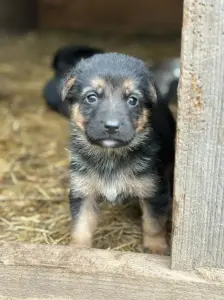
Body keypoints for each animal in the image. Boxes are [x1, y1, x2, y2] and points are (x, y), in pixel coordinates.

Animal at [60, 52, 175, 254]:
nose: (111, 127)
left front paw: (156, 249)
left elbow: (153, 224)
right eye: (91, 97)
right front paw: (78, 249)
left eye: (132, 100)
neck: (110, 154)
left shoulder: (154, 191)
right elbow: (80, 226)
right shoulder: (83, 191)